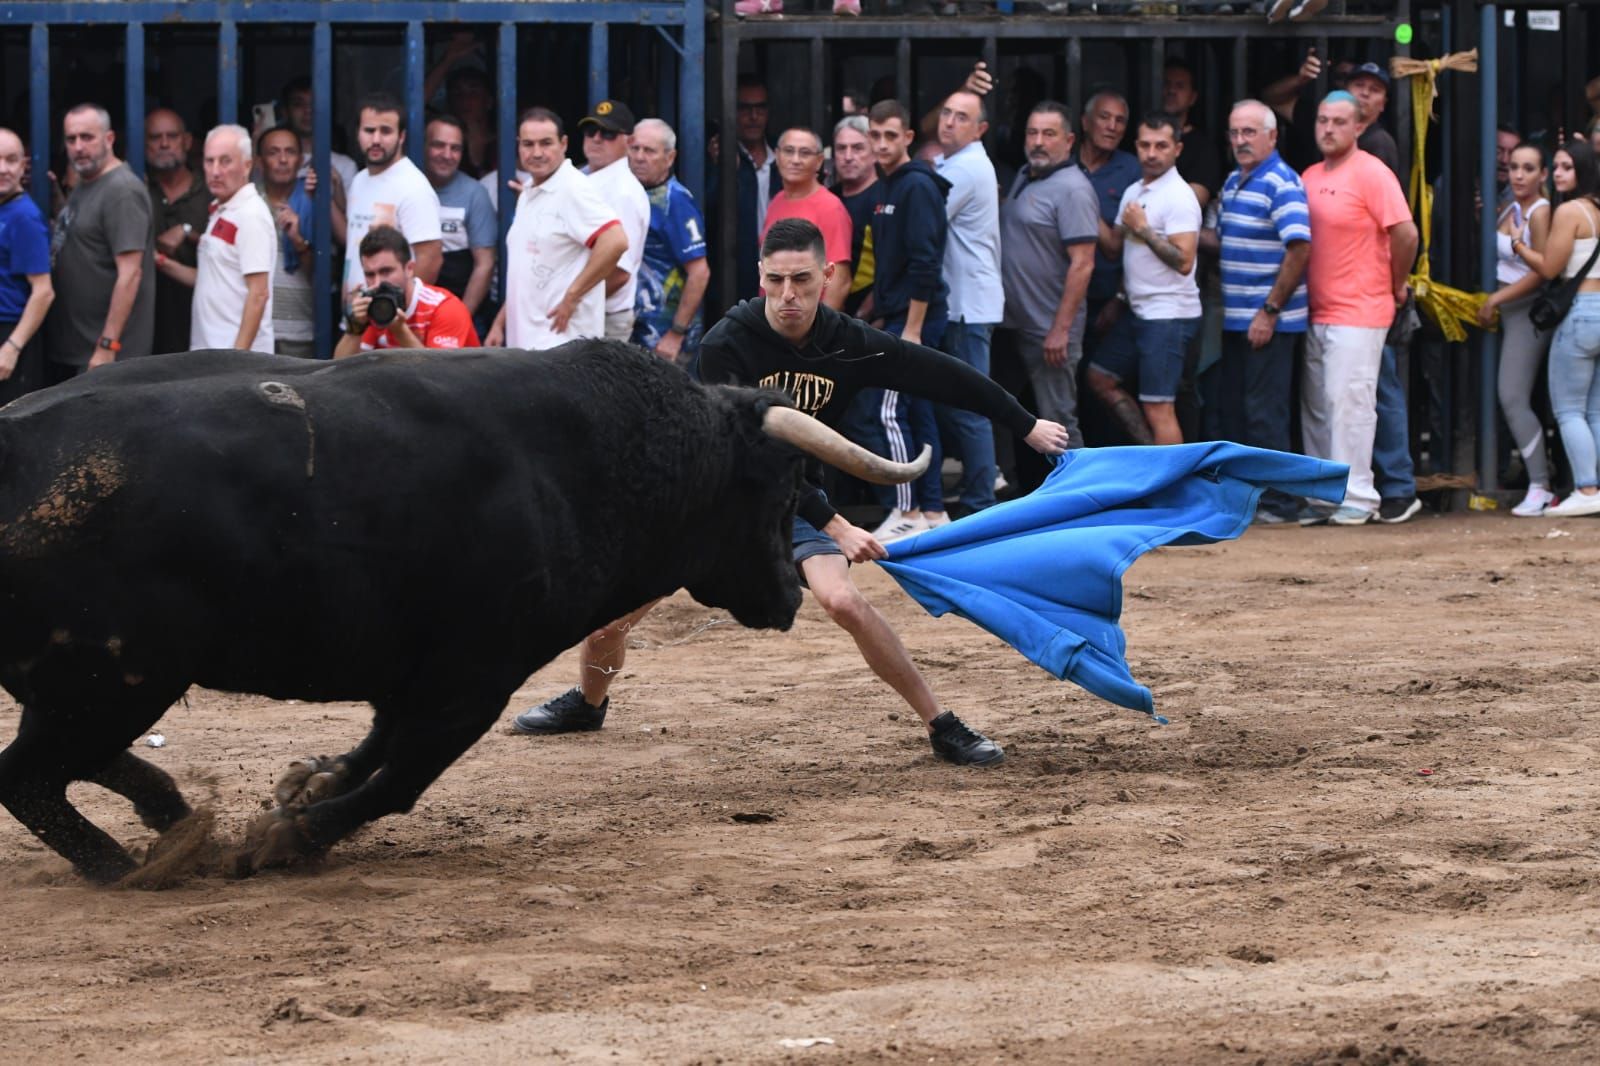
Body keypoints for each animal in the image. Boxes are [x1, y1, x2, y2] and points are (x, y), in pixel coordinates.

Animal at [0, 340, 928, 877]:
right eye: (781, 484)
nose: (789, 595)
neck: (588, 459)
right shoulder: (475, 677)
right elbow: (401, 777)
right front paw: (288, 837)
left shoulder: (414, 670)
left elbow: (373, 750)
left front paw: (302, 789)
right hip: (113, 678)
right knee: (29, 775)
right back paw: (135, 863)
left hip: (100, 685)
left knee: (61, 764)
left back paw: (169, 818)